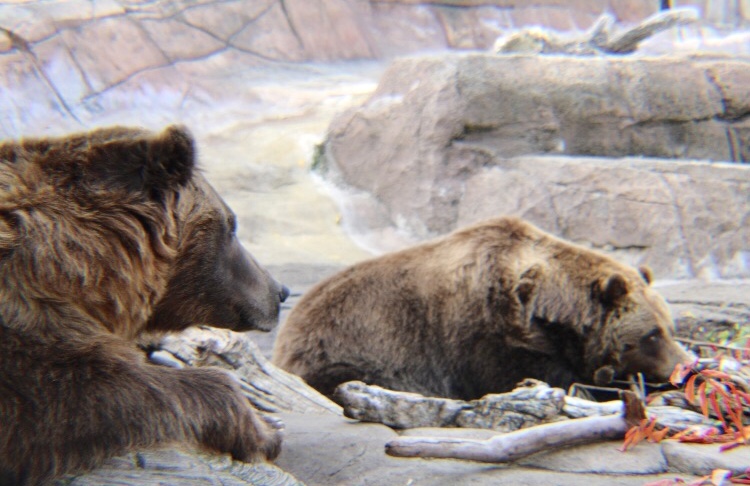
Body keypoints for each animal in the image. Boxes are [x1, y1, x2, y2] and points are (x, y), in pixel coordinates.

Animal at [273, 216, 691, 400]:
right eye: (652, 335)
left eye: (670, 328)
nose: (684, 366)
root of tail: (287, 330)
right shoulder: (481, 331)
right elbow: (523, 375)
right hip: (347, 350)